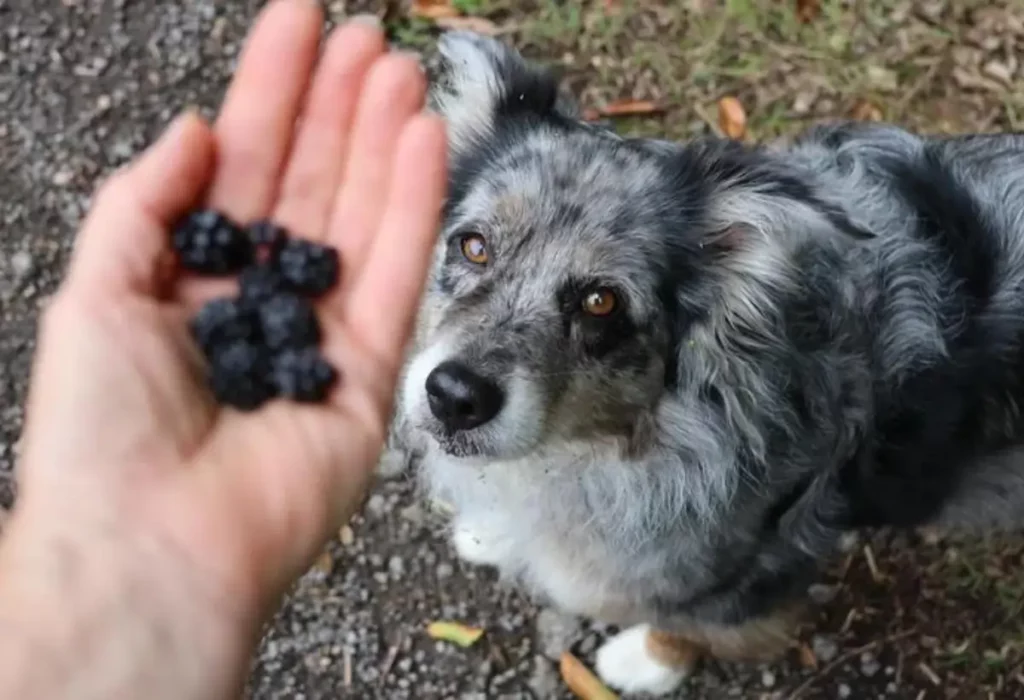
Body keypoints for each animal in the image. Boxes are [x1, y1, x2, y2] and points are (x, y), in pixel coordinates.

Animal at [380, 31, 1024, 695]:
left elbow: (683, 627)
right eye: (474, 246)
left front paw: (645, 664)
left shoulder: (743, 580)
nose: (455, 397)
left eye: (601, 301)